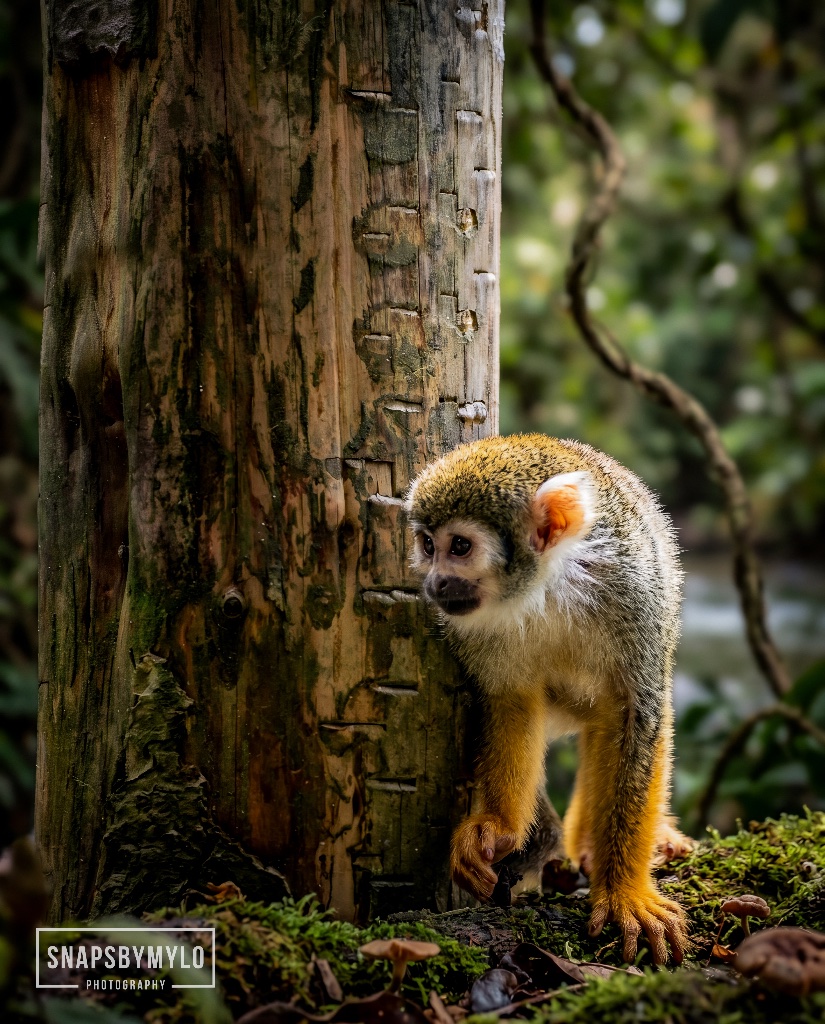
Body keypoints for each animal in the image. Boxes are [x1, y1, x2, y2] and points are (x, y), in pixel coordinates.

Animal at [405, 434, 693, 964]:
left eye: (459, 546)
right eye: (428, 545)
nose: (434, 583)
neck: (549, 586)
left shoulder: (632, 587)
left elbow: (636, 711)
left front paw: (625, 893)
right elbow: (511, 701)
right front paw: (497, 828)